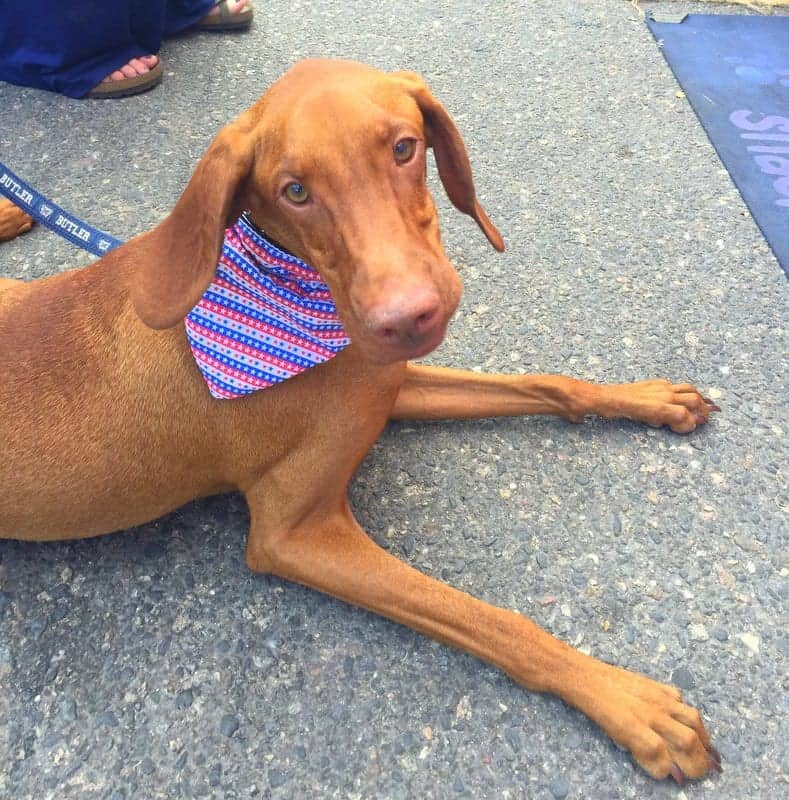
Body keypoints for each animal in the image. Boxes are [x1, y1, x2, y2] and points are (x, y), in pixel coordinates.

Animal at [0, 61, 720, 780]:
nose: (407, 318)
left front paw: (646, 397)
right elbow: (490, 620)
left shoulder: (387, 382)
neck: (301, 289)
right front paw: (628, 702)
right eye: (294, 191)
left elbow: (548, 382)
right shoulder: (295, 534)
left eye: (404, 148)